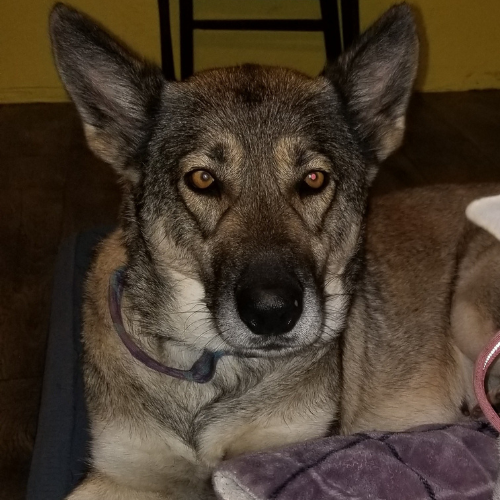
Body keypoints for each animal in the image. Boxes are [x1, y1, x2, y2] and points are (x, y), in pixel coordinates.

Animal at [48, 1, 500, 498]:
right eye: (202, 179)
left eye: (314, 179)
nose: (272, 314)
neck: (213, 370)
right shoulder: (118, 473)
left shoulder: (283, 449)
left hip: (469, 305)